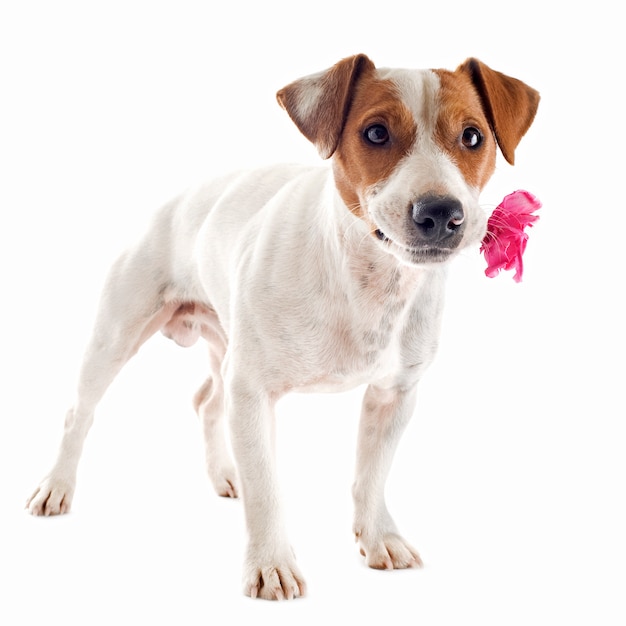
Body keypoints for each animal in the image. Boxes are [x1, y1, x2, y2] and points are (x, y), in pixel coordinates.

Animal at [28, 56, 536, 596]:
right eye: (375, 132)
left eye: (473, 136)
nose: (440, 212)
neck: (364, 275)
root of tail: (180, 197)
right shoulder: (253, 392)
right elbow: (266, 489)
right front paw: (270, 564)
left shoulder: (394, 395)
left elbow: (371, 476)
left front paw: (378, 537)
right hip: (116, 335)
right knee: (79, 413)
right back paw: (56, 487)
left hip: (224, 347)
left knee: (206, 402)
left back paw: (224, 473)